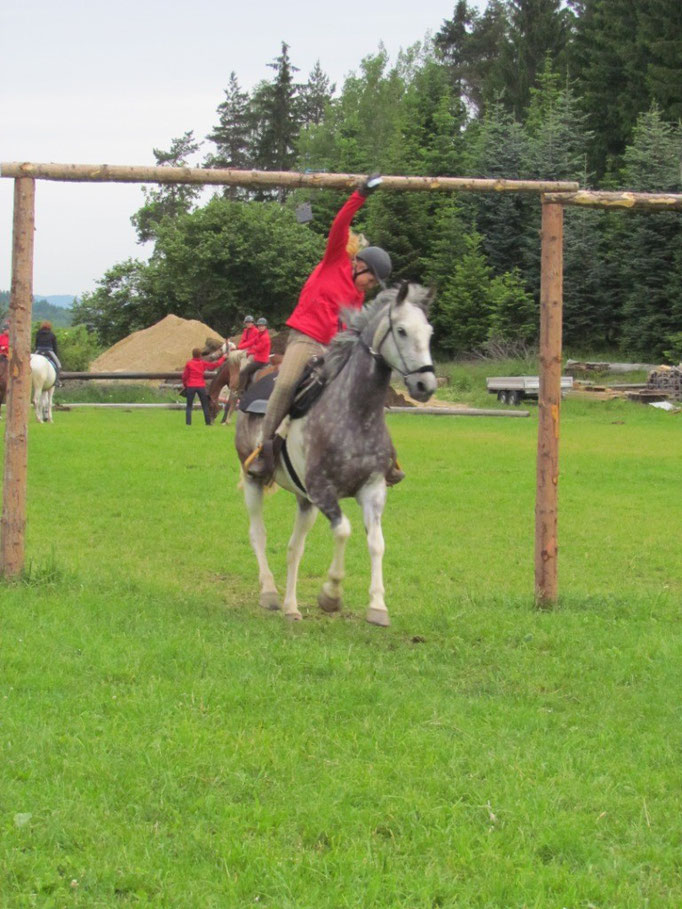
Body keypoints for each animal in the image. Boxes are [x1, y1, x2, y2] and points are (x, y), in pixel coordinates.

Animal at [234, 284, 436, 624]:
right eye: (402, 330)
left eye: (429, 332)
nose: (426, 384)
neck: (355, 412)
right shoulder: (322, 491)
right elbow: (343, 531)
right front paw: (330, 595)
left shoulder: (373, 489)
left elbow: (376, 543)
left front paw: (377, 606)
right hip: (253, 481)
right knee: (257, 534)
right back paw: (270, 593)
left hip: (304, 501)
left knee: (294, 548)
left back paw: (291, 607)